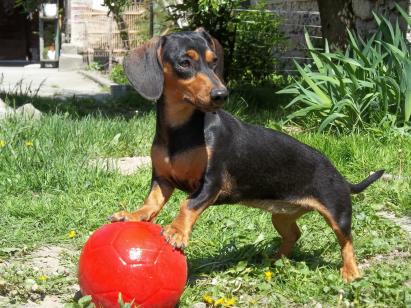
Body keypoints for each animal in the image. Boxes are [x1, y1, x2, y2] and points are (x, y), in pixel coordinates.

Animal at [110, 28, 386, 282]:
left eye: (213, 61)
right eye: (184, 62)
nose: (221, 95)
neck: (181, 131)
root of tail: (340, 176)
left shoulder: (211, 183)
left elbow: (187, 204)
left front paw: (177, 231)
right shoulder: (163, 179)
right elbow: (152, 202)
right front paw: (134, 215)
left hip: (337, 213)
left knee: (347, 240)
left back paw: (350, 272)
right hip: (281, 216)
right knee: (294, 234)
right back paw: (275, 259)